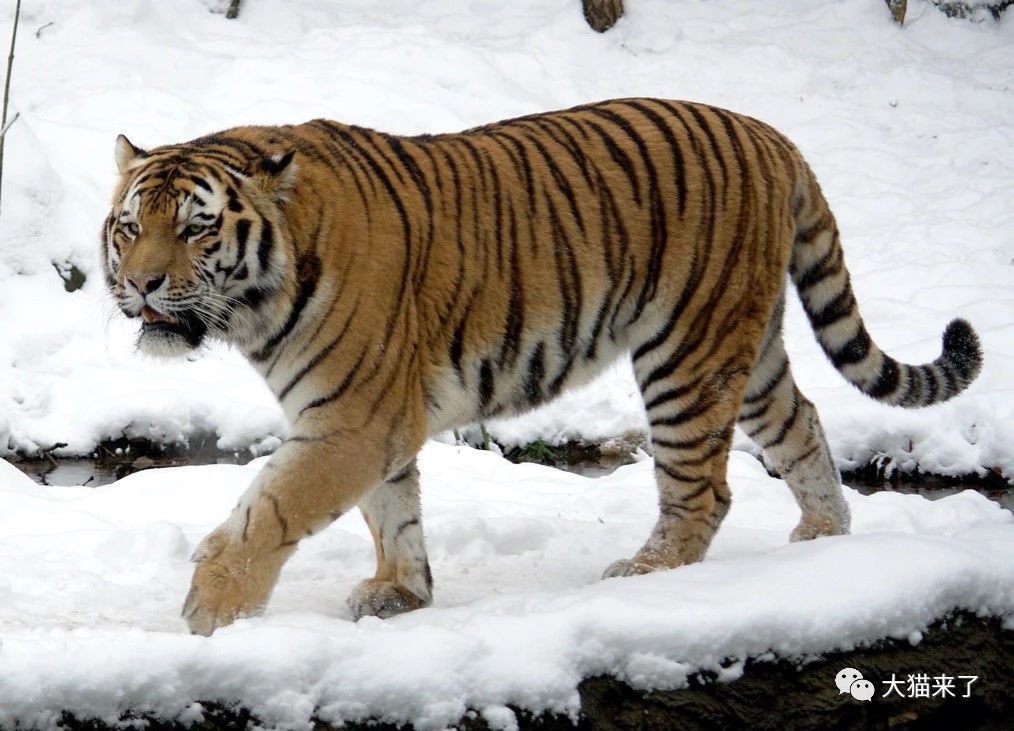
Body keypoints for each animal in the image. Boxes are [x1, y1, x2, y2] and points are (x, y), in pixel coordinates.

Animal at [102, 96, 981, 632]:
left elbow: (270, 510)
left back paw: (647, 572)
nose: (140, 284)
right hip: (748, 345)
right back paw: (823, 538)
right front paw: (401, 592)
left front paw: (211, 611)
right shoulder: (370, 420)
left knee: (704, 488)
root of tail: (773, 136)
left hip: (686, 353)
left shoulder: (352, 419)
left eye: (195, 228)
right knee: (800, 422)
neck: (258, 301)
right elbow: (393, 511)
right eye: (130, 226)